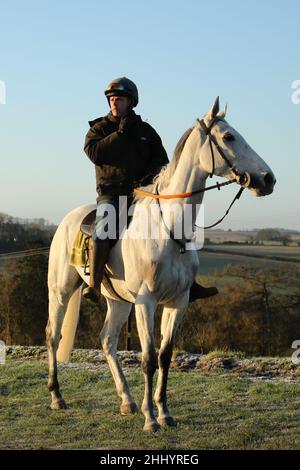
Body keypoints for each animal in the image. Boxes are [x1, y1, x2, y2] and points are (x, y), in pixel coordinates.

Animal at [46, 97, 276, 432]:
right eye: (229, 137)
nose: (268, 179)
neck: (169, 227)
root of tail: (68, 218)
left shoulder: (178, 302)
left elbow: (166, 356)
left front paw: (164, 412)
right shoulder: (147, 302)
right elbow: (149, 358)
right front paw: (150, 419)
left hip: (118, 301)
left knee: (107, 340)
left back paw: (126, 400)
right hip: (61, 291)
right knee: (53, 335)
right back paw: (57, 396)